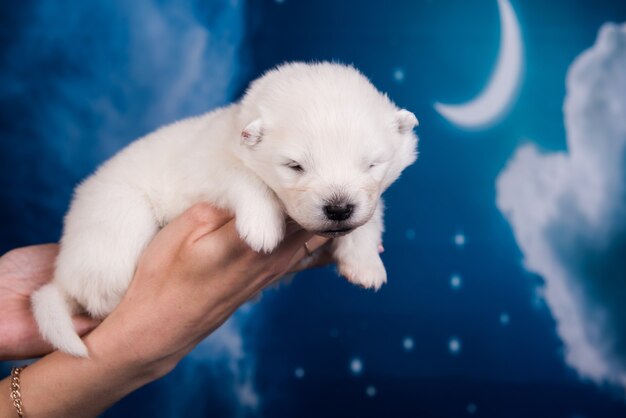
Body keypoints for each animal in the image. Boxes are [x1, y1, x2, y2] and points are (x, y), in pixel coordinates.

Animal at [30, 62, 420, 356]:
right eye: (295, 166)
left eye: (371, 164)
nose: (338, 209)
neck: (234, 133)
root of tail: (61, 272)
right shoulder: (209, 170)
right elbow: (244, 178)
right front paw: (263, 228)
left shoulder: (371, 198)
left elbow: (372, 216)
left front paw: (366, 264)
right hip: (119, 222)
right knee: (98, 291)